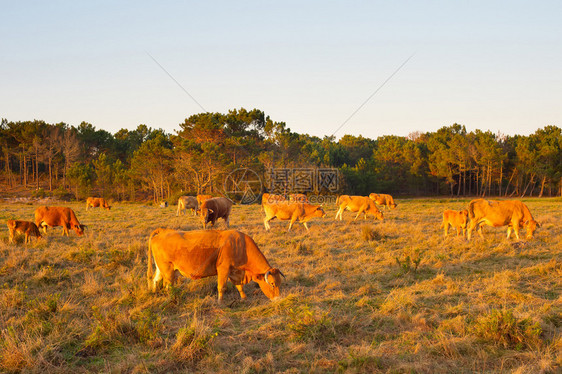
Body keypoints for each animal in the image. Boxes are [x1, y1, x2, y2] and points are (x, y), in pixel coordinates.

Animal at [147, 228, 282, 300]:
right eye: (272, 284)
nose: (278, 299)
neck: (240, 245)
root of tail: (164, 231)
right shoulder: (223, 269)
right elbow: (221, 287)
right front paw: (220, 302)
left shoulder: (235, 272)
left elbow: (239, 286)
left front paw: (244, 298)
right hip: (168, 271)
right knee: (168, 286)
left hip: (161, 269)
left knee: (155, 280)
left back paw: (154, 293)